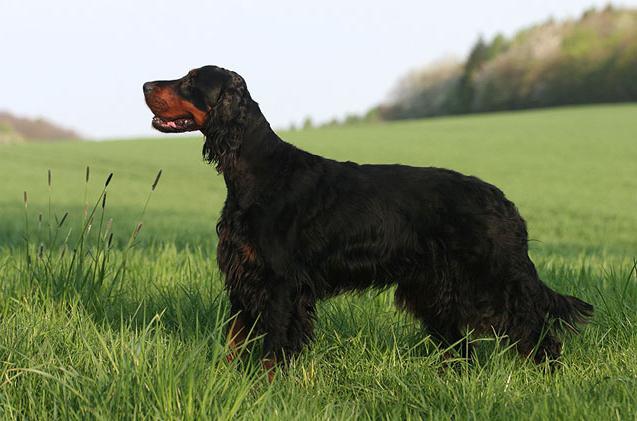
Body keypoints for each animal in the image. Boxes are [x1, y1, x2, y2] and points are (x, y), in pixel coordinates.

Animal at [144, 65, 592, 378]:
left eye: (190, 80)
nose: (145, 85)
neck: (258, 173)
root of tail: (503, 201)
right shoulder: (244, 277)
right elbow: (233, 342)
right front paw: (226, 382)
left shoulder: (280, 283)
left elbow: (273, 349)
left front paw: (264, 391)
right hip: (435, 290)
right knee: (462, 347)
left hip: (494, 281)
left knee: (540, 336)